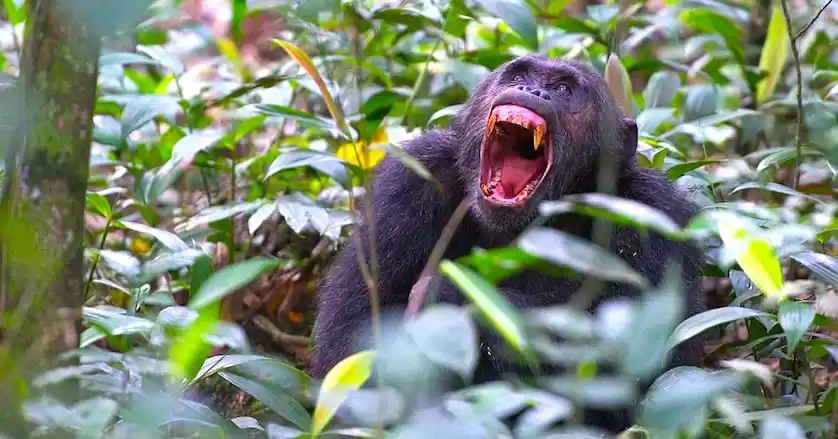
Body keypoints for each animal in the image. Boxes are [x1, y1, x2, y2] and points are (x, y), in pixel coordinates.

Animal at [308, 54, 705, 433]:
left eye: (564, 90)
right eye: (517, 76)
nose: (533, 91)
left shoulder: (655, 217)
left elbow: (641, 376)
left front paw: (448, 293)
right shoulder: (408, 182)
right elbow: (350, 338)